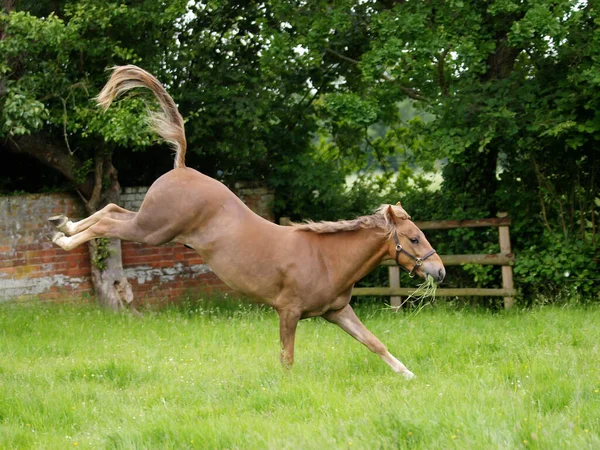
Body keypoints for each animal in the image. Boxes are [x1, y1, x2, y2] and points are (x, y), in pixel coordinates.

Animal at [49, 65, 442, 378]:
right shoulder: (288, 311)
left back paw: (62, 224)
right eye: (414, 238)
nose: (439, 272)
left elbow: (374, 343)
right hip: (153, 230)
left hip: (151, 225)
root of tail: (182, 166)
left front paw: (407, 375)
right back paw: (63, 236)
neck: (327, 259)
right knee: (106, 222)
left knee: (111, 209)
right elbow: (287, 358)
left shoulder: (337, 312)